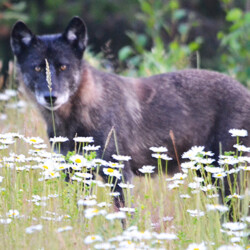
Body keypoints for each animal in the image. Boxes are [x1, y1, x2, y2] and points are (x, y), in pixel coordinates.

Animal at [10, 16, 249, 207]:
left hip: (224, 175)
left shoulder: (119, 173)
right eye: (38, 67)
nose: (51, 97)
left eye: (63, 67)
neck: (76, 120)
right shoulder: (75, 172)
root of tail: (244, 90)